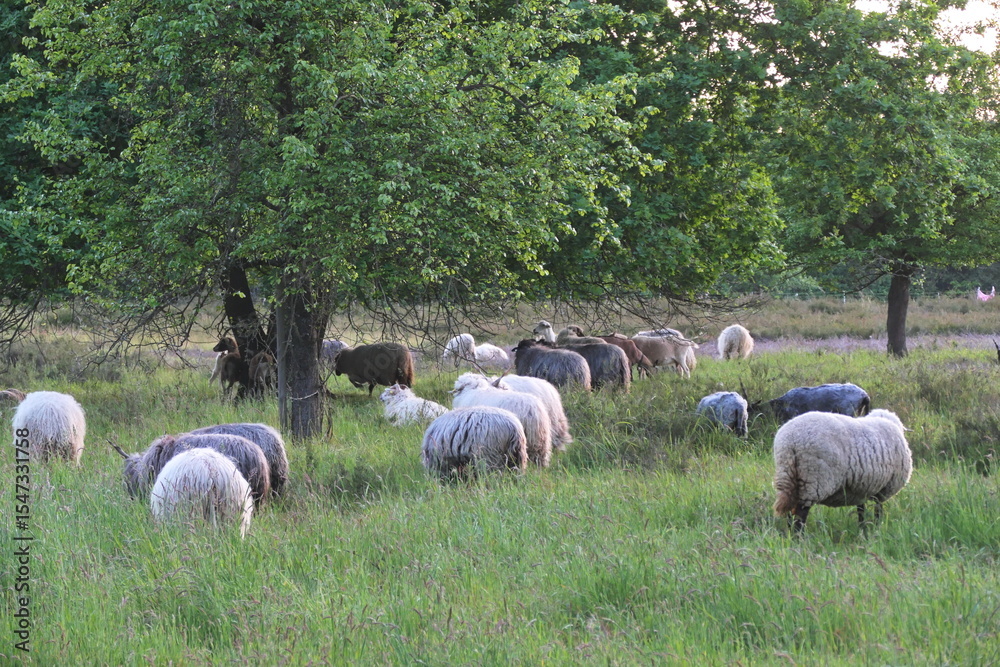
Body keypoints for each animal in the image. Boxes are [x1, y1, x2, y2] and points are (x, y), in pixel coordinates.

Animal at [772, 409, 912, 533]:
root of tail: (791, 441)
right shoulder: (883, 489)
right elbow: (878, 510)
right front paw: (877, 528)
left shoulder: (861, 487)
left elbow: (861, 510)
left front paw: (863, 529)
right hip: (813, 479)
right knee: (800, 515)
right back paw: (799, 537)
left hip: (789, 476)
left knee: (790, 512)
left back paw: (790, 535)